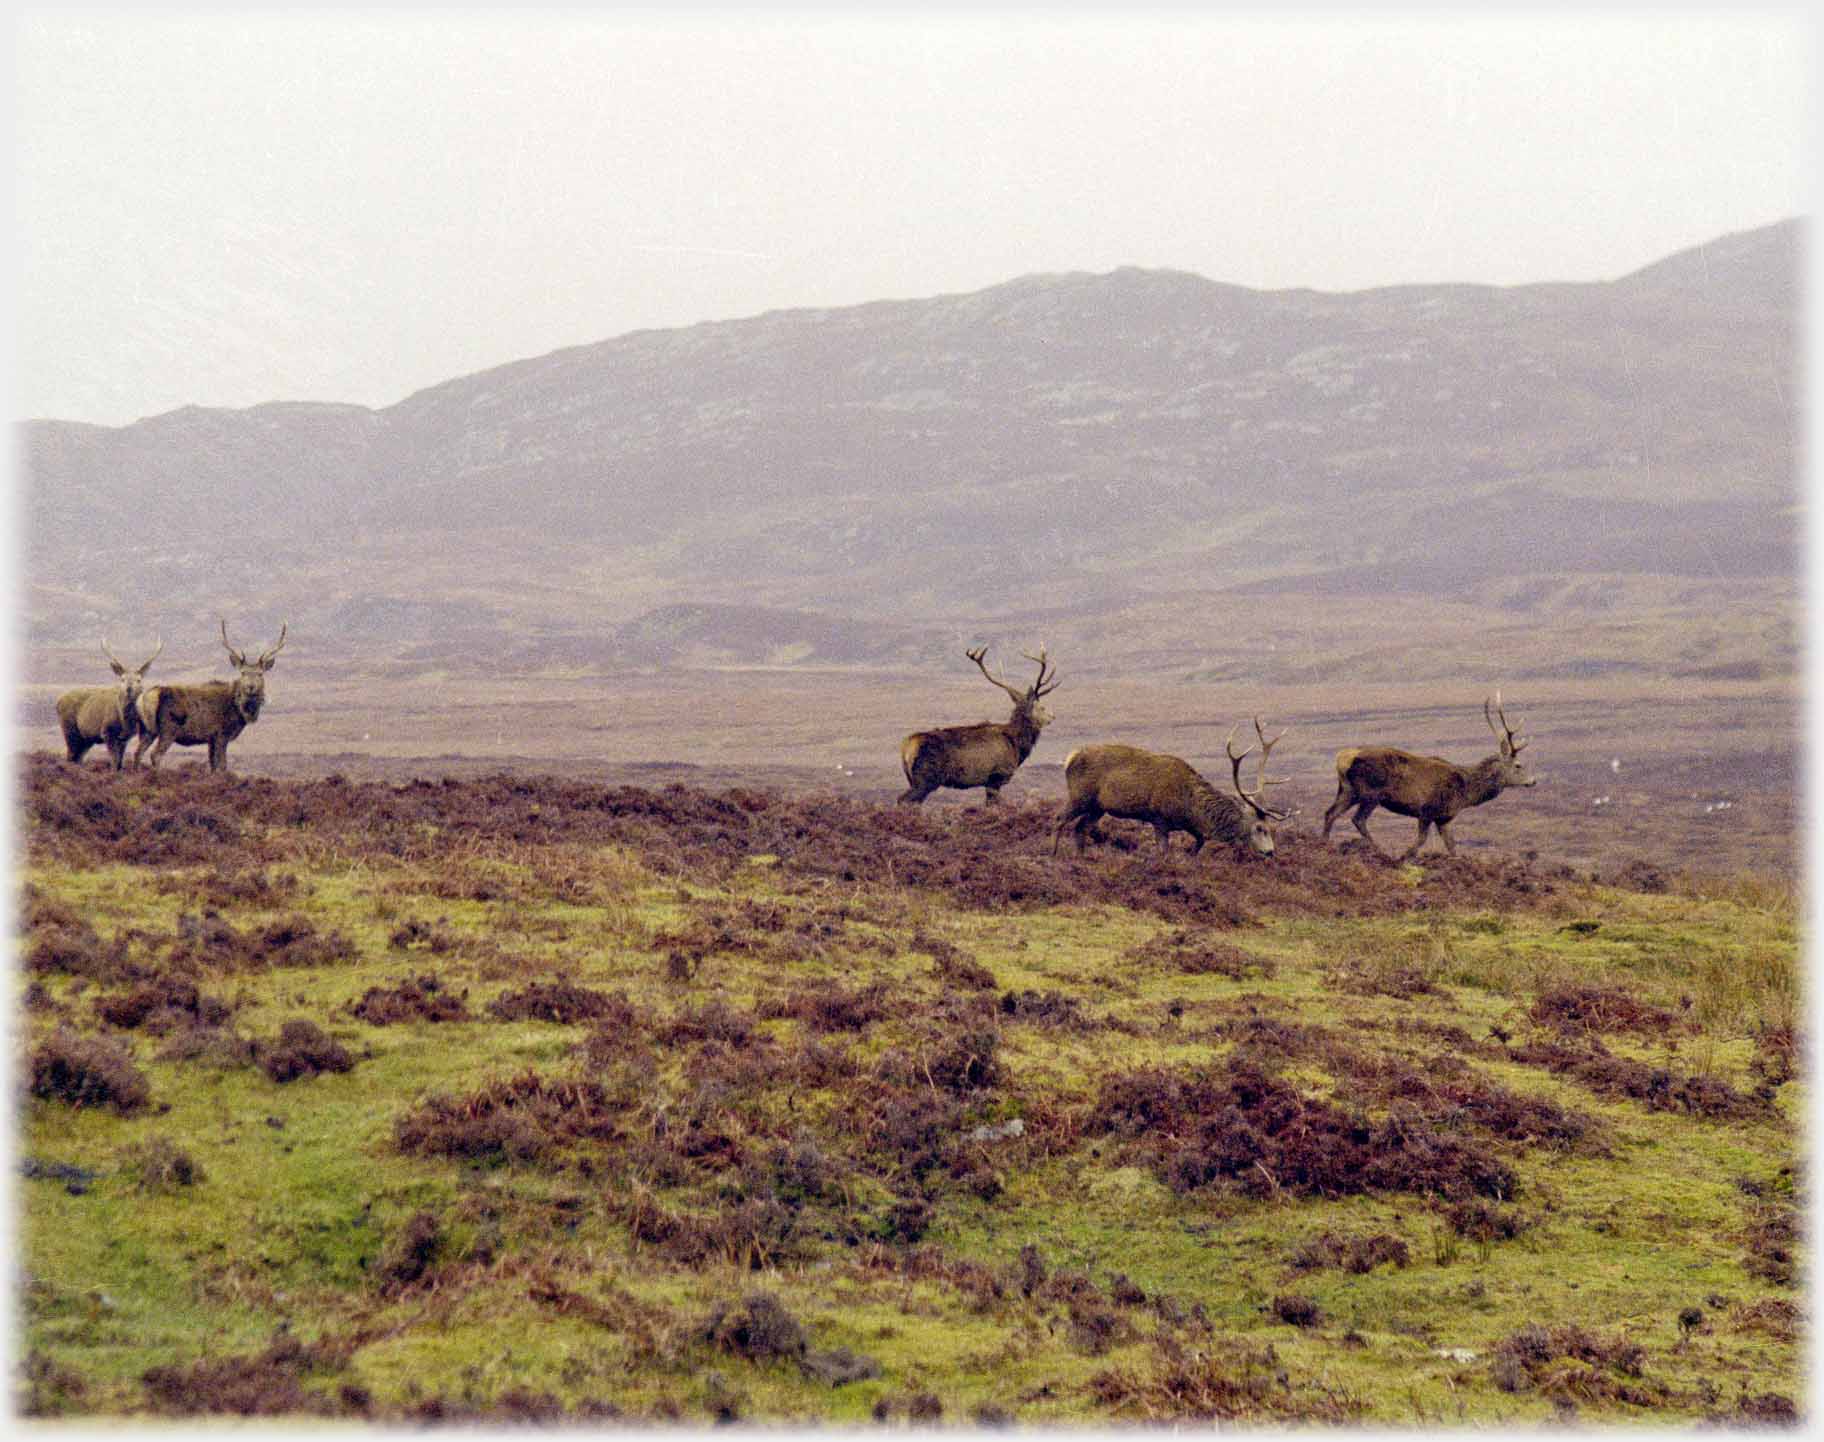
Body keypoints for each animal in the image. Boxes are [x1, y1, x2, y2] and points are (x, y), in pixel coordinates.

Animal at [54, 641, 164, 772]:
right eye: (122, 679)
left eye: (139, 680)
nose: (129, 689)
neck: (125, 722)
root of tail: (58, 702)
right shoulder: (107, 732)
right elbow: (114, 762)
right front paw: (112, 773)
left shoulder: (125, 738)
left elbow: (120, 764)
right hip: (69, 729)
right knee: (70, 756)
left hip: (86, 738)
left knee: (78, 758)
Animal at [134, 619, 288, 776]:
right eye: (243, 673)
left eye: (260, 674)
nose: (250, 686)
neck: (239, 713)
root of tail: (146, 698)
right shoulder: (221, 734)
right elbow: (222, 765)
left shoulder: (211, 739)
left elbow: (213, 766)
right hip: (168, 729)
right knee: (155, 755)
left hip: (147, 730)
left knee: (138, 753)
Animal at [893, 645, 1057, 805]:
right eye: (1041, 707)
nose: (1053, 717)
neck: (1016, 744)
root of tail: (906, 747)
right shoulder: (996, 776)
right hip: (926, 778)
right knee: (903, 799)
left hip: (913, 779)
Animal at [1050, 718, 1291, 856]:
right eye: (1259, 828)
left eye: (1270, 829)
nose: (1270, 852)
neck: (1191, 808)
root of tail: (1069, 759)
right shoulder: (1159, 819)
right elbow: (1164, 852)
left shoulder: (1193, 829)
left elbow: (1197, 846)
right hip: (1080, 796)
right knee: (1059, 818)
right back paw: (1053, 855)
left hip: (1098, 807)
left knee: (1080, 828)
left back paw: (1080, 859)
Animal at [1320, 692, 1532, 864]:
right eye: (1518, 765)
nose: (1533, 781)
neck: (1465, 792)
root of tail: (1343, 758)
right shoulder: (1427, 810)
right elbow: (1421, 841)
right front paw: (1403, 857)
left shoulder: (1444, 817)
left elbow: (1452, 845)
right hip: (1370, 793)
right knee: (1358, 819)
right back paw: (1379, 851)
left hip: (1348, 790)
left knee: (1330, 813)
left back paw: (1324, 844)